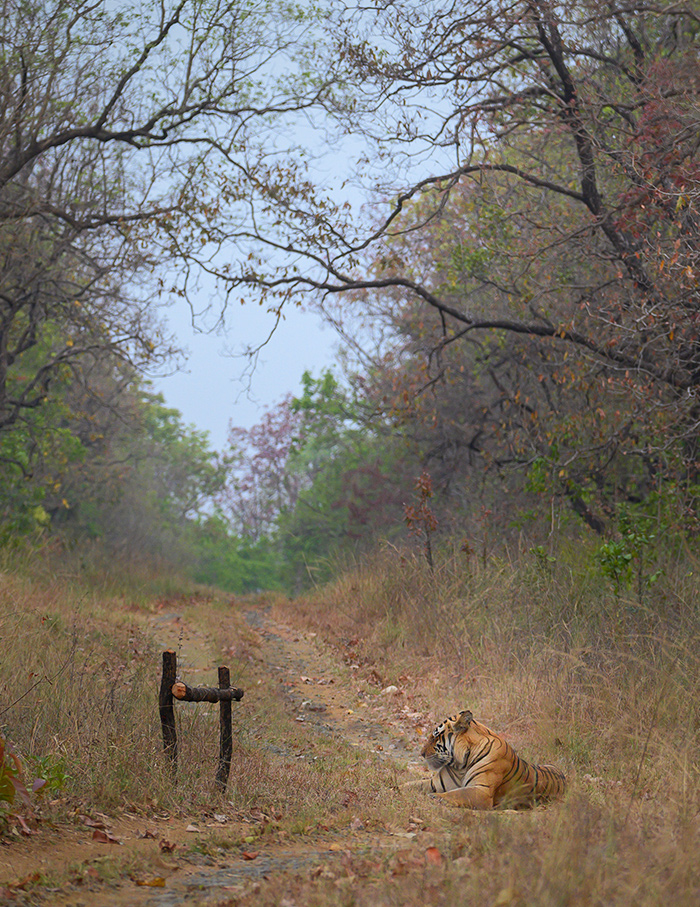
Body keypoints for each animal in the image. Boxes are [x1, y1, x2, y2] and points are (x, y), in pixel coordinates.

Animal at [416, 708, 568, 808]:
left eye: (435, 736)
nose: (421, 753)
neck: (461, 765)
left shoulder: (482, 791)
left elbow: (454, 794)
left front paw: (434, 797)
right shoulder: (434, 783)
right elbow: (413, 784)